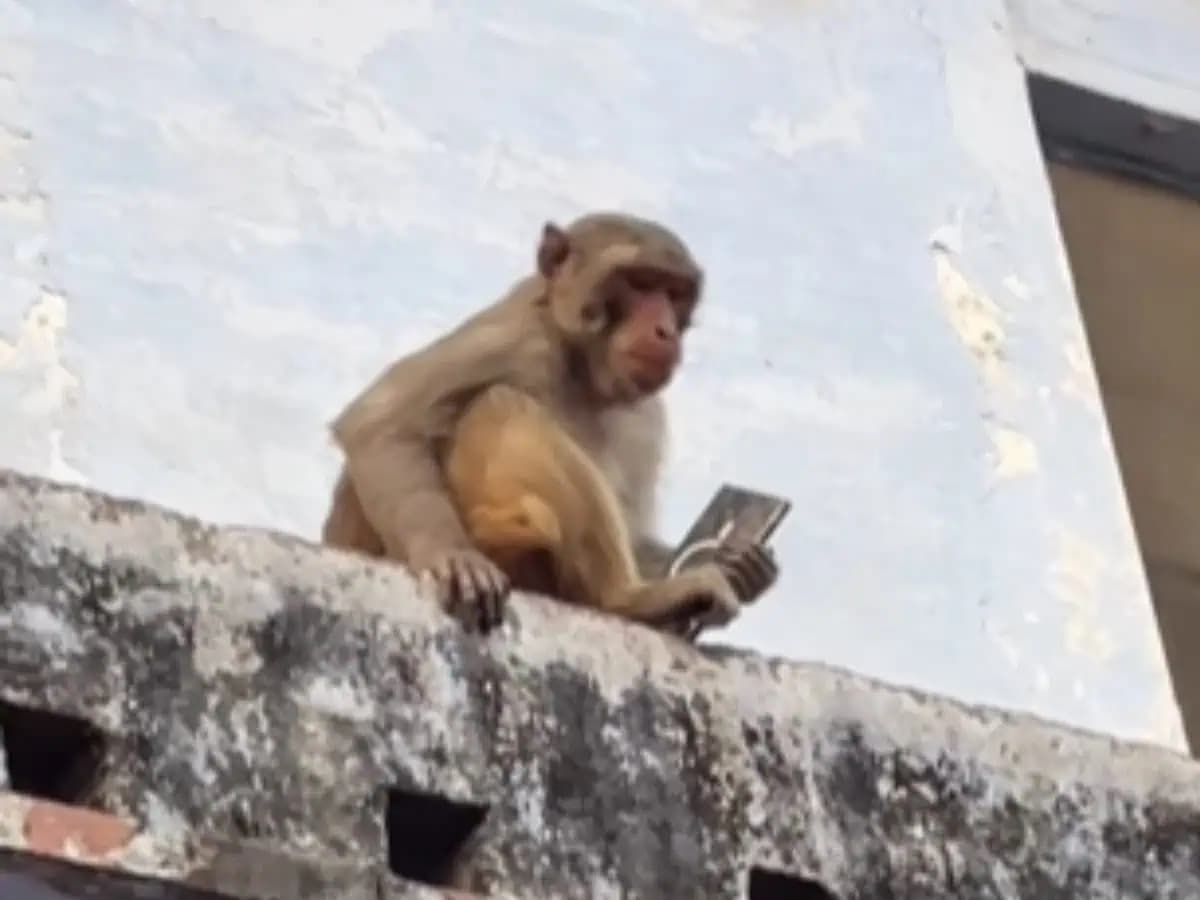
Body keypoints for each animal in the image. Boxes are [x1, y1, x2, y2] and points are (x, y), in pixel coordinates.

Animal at [322, 212, 779, 634]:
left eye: (674, 292)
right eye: (639, 282)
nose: (665, 330)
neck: (581, 366)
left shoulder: (646, 415)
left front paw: (743, 566)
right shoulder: (513, 338)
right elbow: (380, 423)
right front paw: (449, 554)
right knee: (501, 404)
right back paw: (630, 600)